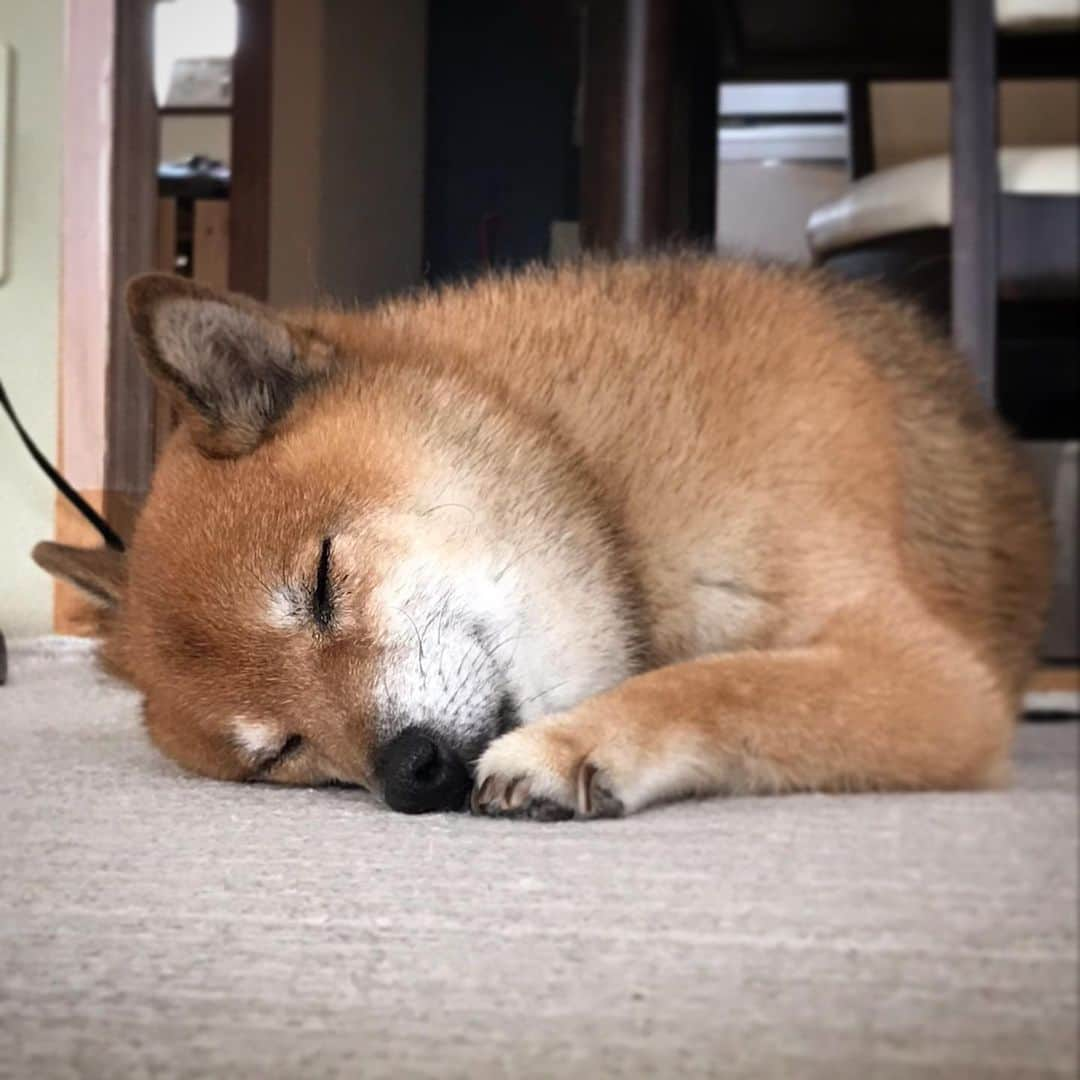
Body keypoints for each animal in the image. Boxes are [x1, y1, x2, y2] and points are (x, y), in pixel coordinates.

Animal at [31, 257, 1045, 820]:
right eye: (281, 754)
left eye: (321, 581)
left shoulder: (931, 676)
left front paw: (576, 743)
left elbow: (727, 684)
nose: (412, 772)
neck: (598, 467)